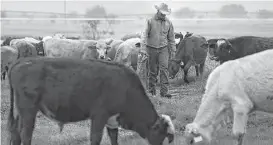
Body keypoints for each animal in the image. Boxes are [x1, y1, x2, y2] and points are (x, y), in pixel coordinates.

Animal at [8, 56, 175, 145]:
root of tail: (22, 61)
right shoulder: (99, 116)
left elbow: (114, 139)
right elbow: (95, 139)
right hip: (29, 110)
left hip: (20, 112)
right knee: (25, 134)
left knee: (15, 132)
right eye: (161, 134)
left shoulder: (112, 121)